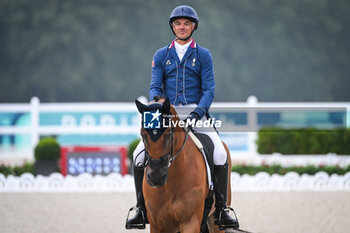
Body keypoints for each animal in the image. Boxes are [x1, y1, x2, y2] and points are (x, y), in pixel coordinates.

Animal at [136, 97, 232, 232]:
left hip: (215, 220)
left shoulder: (190, 222)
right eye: (142, 134)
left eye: (168, 135)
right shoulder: (157, 225)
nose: (155, 178)